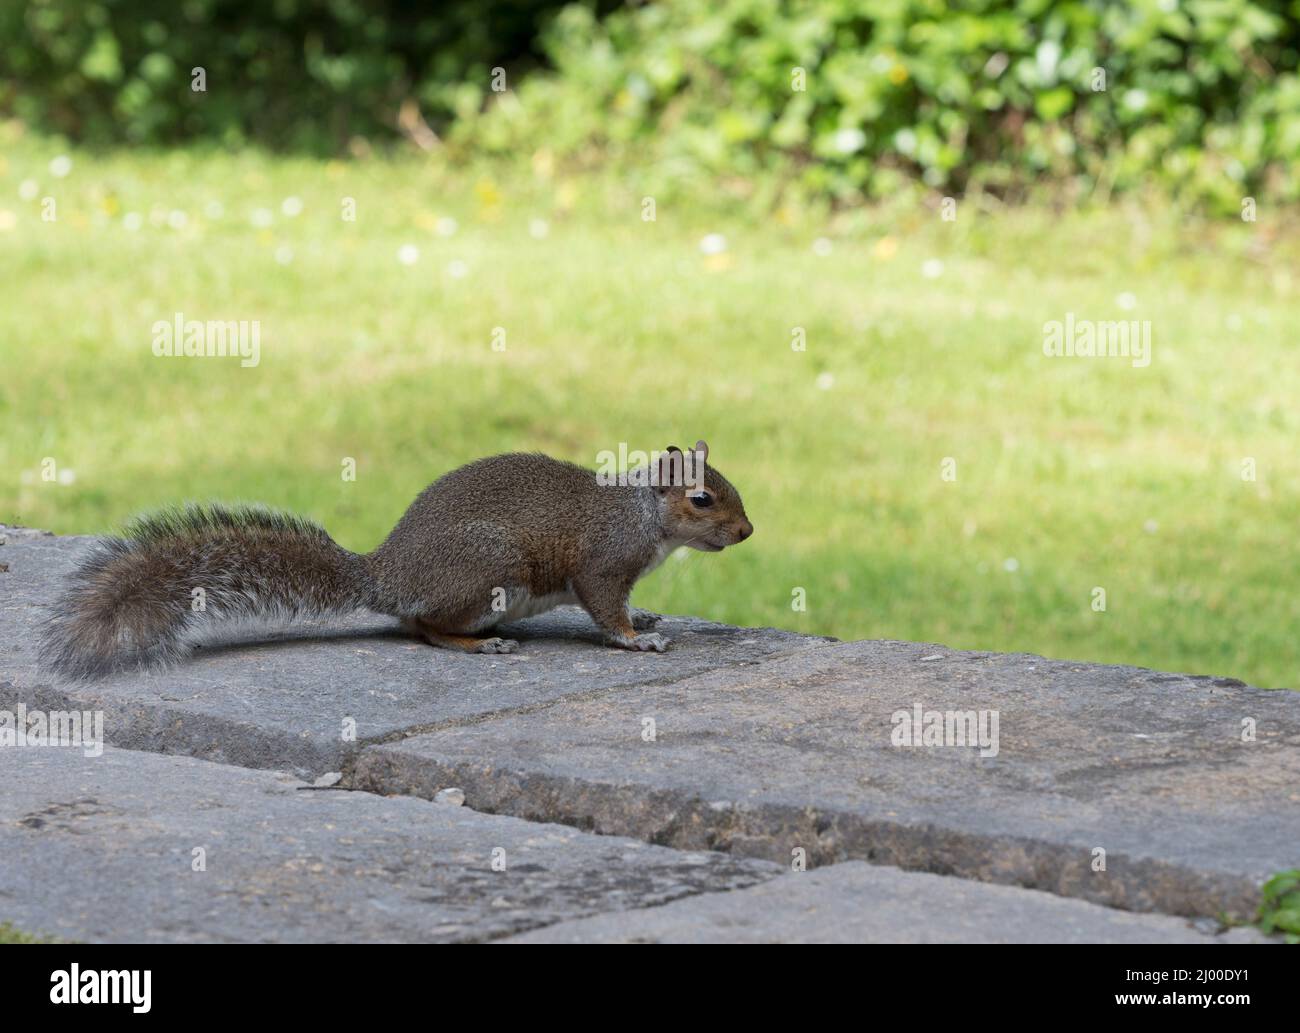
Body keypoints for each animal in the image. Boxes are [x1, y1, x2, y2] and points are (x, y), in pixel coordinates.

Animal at [40, 439, 754, 680]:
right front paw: (637, 640)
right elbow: (606, 608)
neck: (643, 515)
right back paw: (479, 644)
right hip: (490, 569)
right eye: (702, 498)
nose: (747, 532)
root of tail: (382, 575)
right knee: (424, 627)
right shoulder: (604, 562)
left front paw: (651, 620)